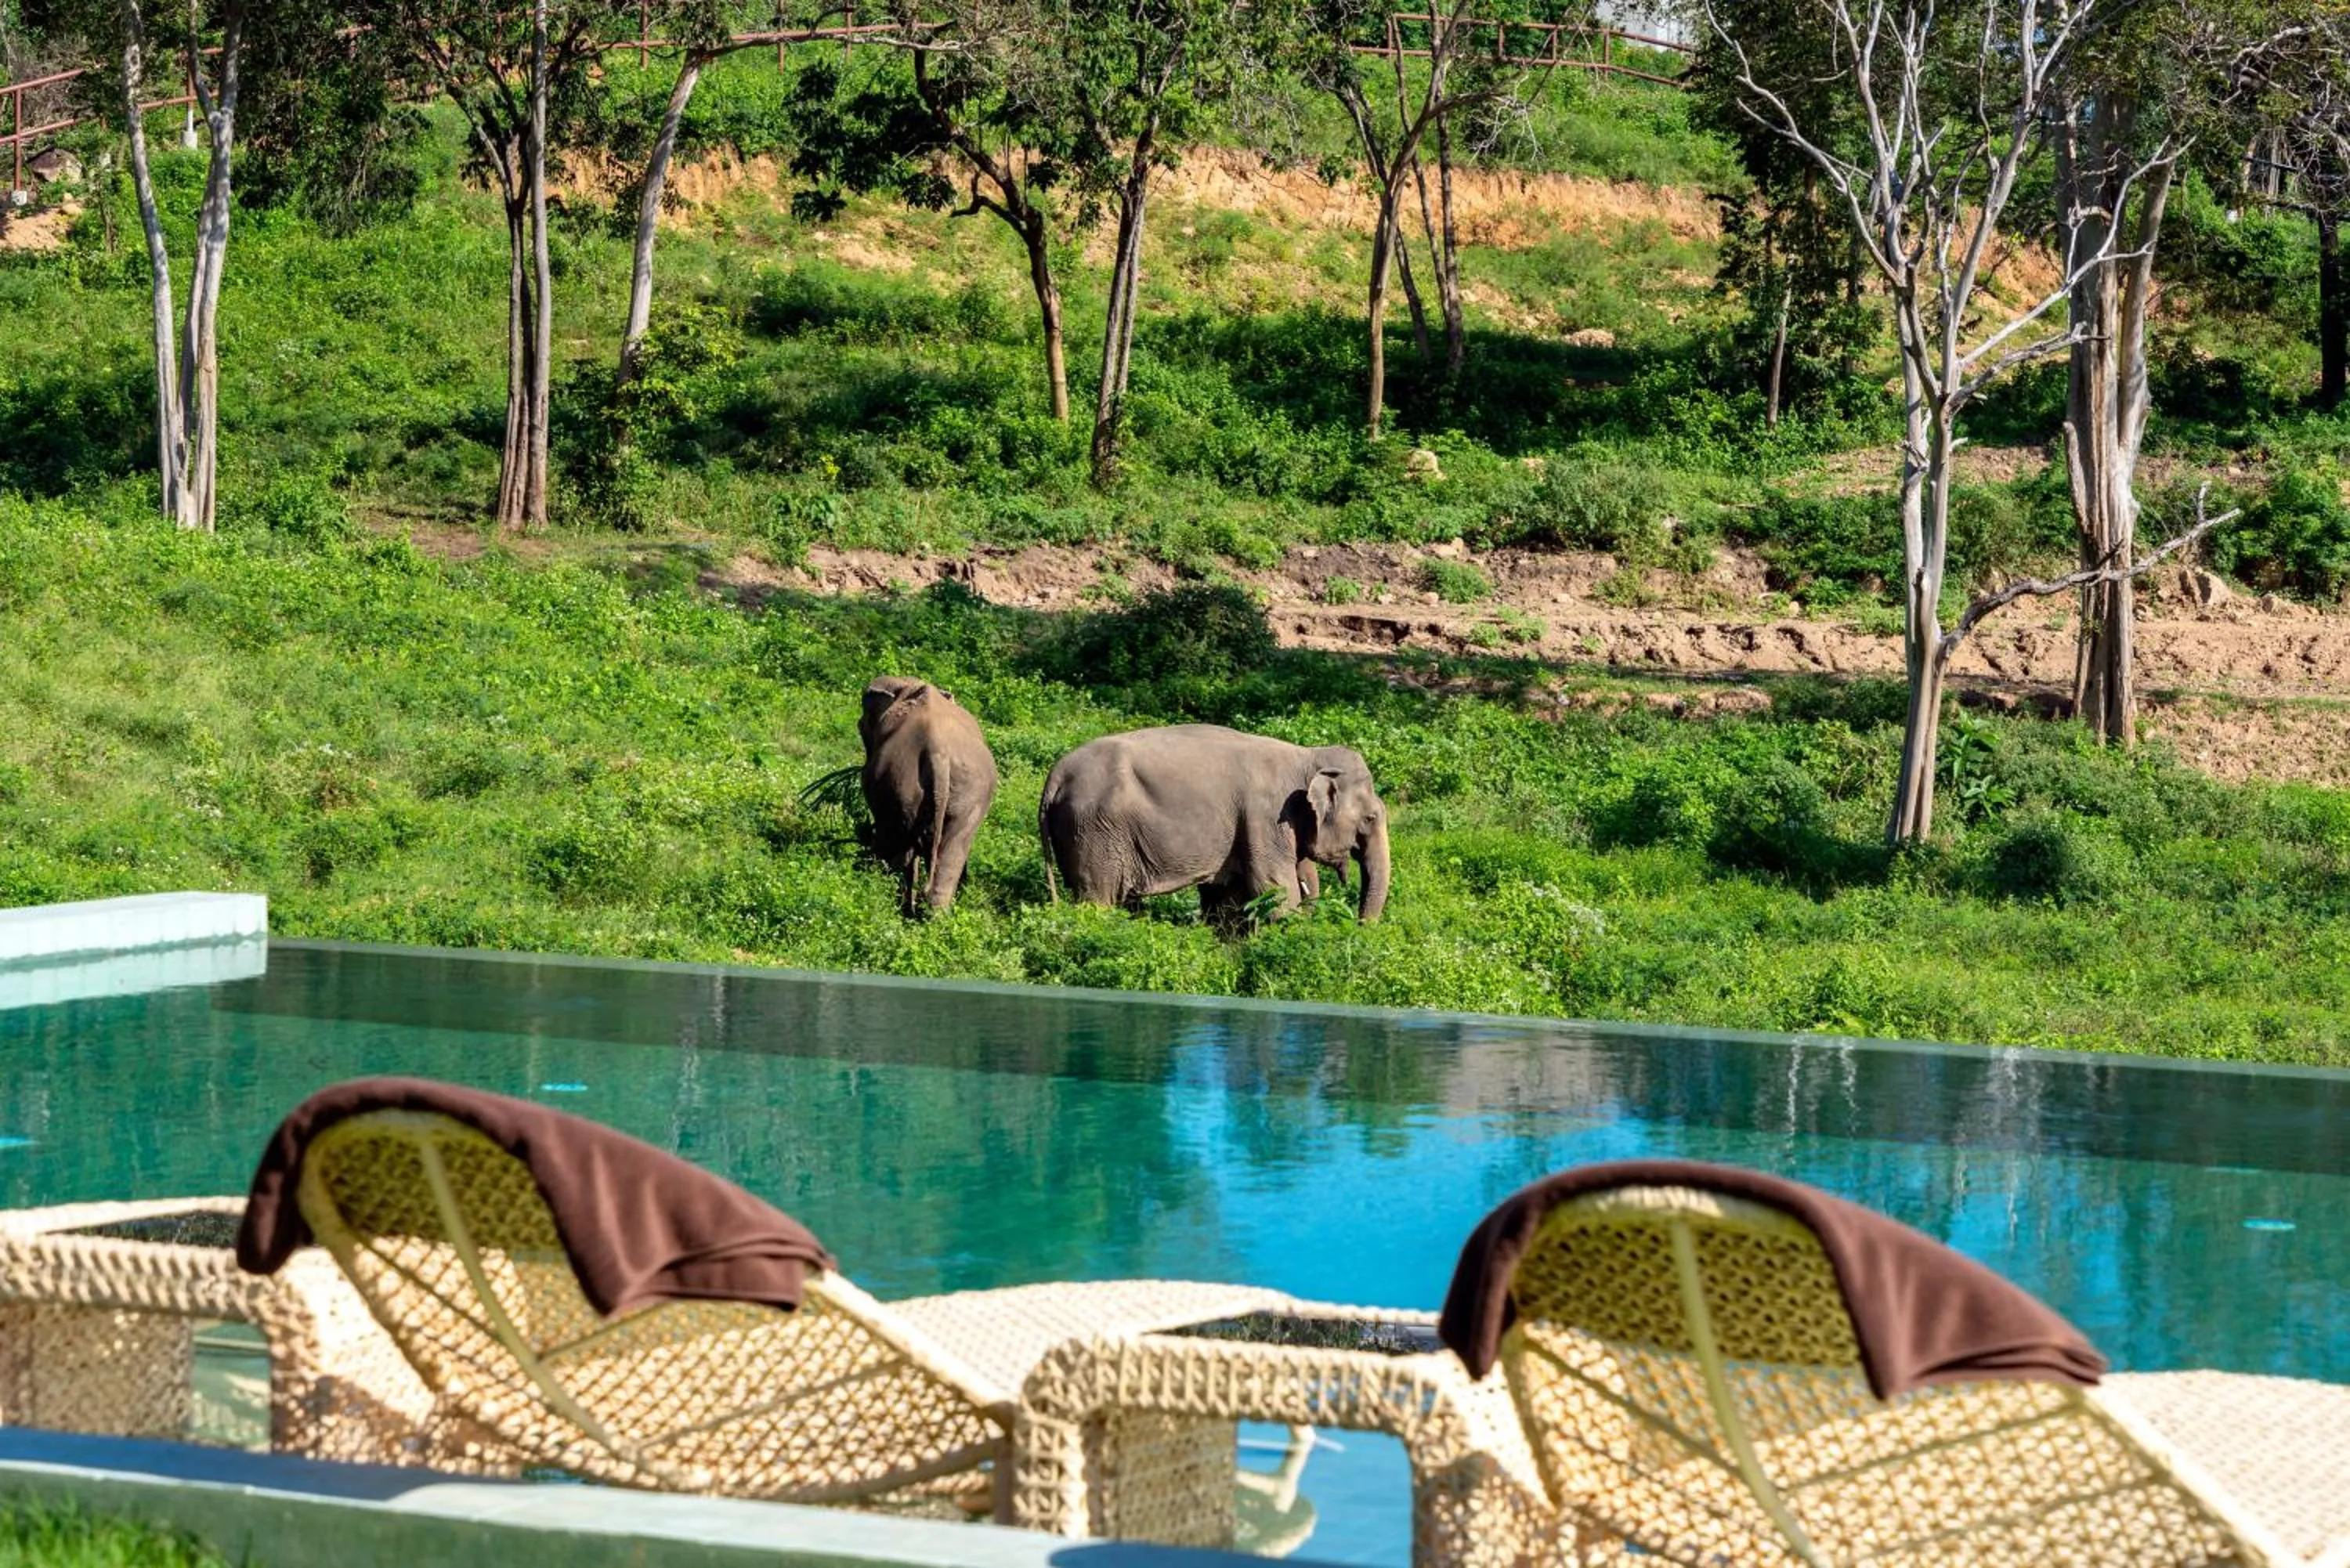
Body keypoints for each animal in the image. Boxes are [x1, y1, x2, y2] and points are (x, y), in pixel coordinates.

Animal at [859, 676, 998, 916]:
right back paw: (932, 914)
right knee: (953, 849)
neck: (907, 685)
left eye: (861, 726)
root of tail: (938, 753)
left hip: (897, 784)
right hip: (969, 793)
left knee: (894, 840)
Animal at [1038, 724, 1390, 924]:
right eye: (1371, 818)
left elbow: (1228, 898)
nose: (1358, 927)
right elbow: (1274, 889)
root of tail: (1056, 775)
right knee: (1099, 899)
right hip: (1094, 831)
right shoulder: (1265, 816)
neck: (1306, 757)